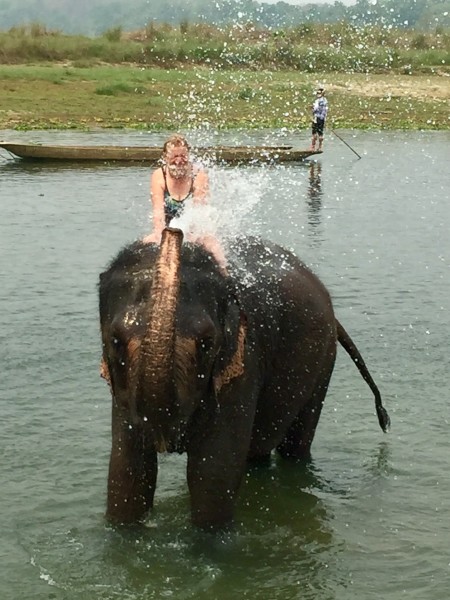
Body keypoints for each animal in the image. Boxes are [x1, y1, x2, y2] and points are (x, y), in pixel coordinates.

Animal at [99, 226, 390, 528]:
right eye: (115, 340)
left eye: (207, 343)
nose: (172, 229)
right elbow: (127, 469)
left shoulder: (244, 363)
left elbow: (213, 471)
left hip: (322, 363)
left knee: (295, 443)